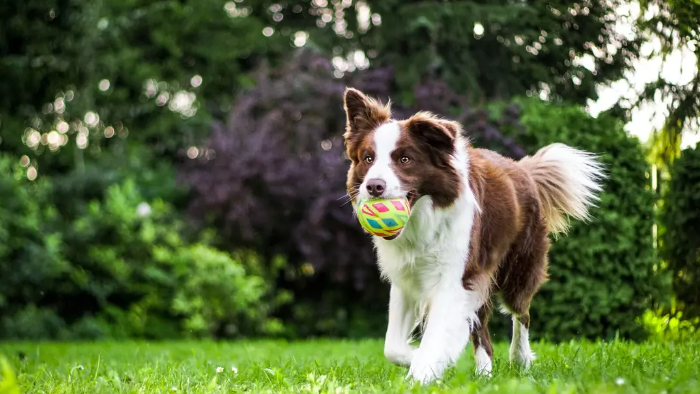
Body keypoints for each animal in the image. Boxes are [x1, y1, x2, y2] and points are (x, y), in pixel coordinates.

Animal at [342, 87, 604, 384]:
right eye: (368, 158)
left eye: (404, 159)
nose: (374, 186)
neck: (423, 219)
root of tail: (523, 169)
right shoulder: (407, 278)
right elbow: (392, 347)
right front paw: (422, 359)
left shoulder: (456, 277)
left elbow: (436, 335)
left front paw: (422, 373)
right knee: (483, 332)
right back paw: (484, 373)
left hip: (517, 269)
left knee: (521, 313)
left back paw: (520, 359)